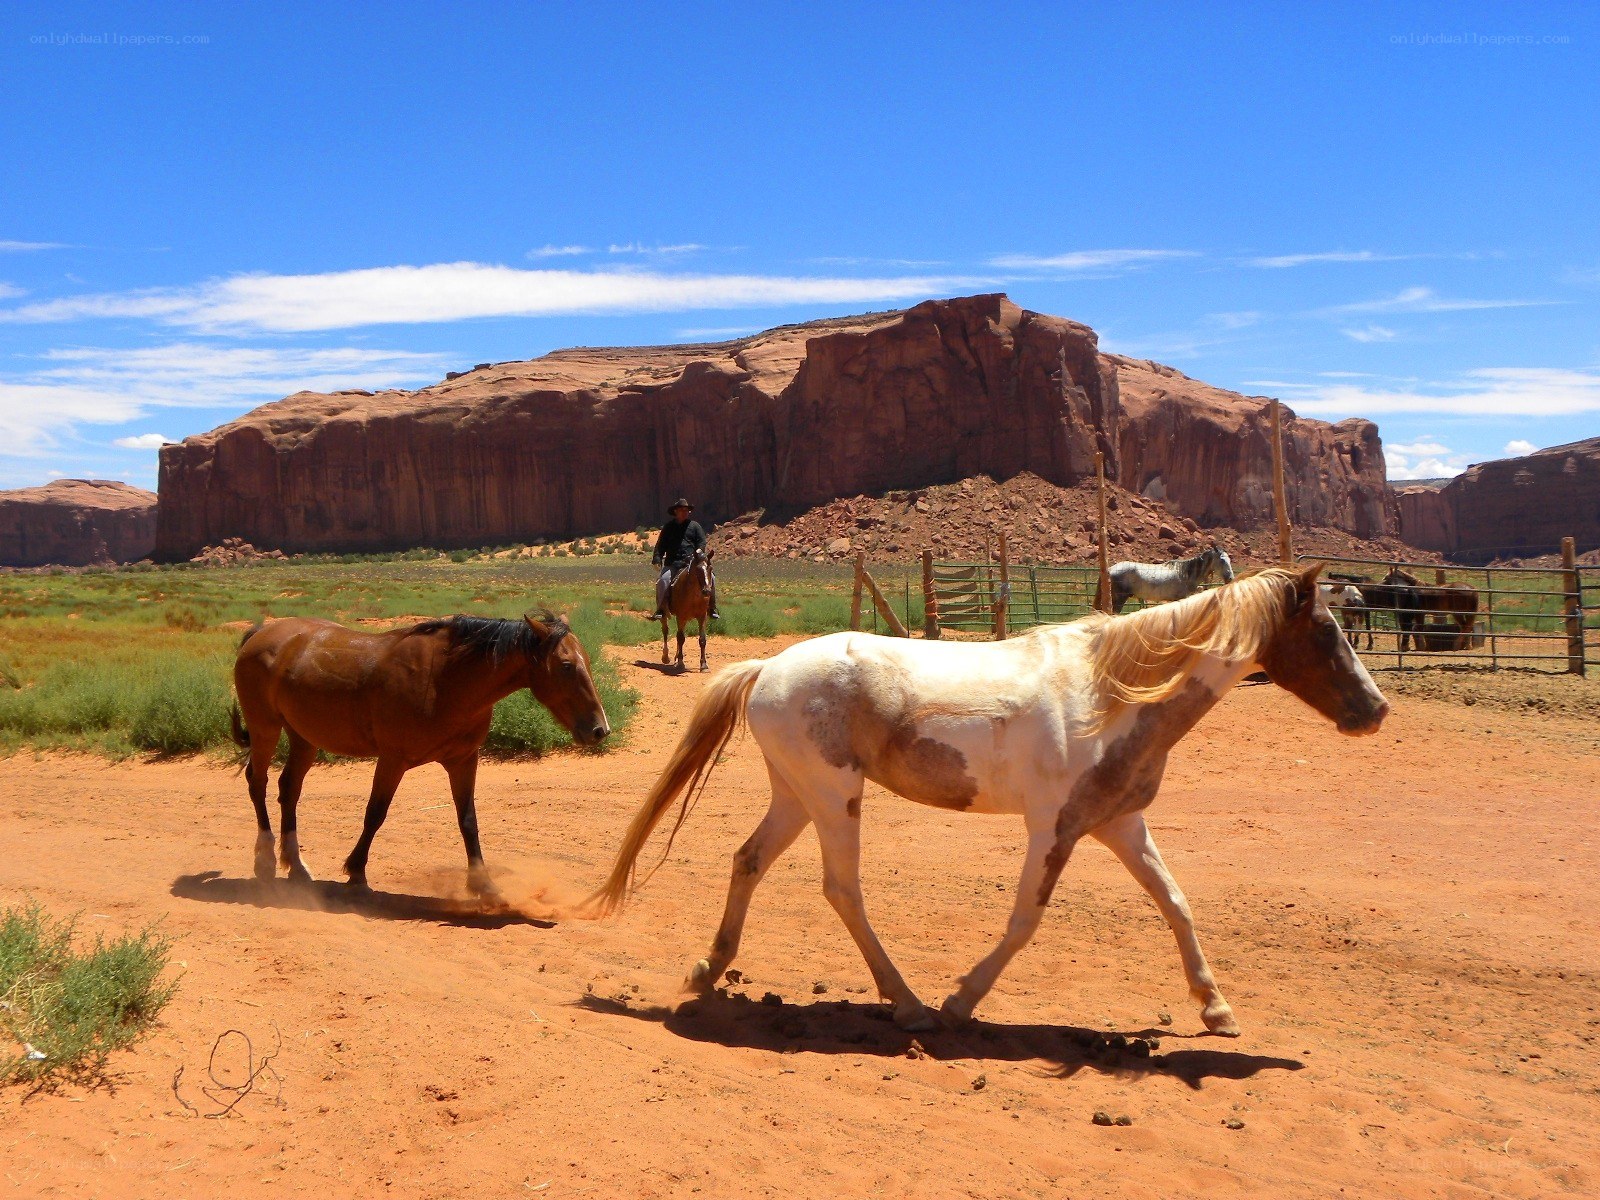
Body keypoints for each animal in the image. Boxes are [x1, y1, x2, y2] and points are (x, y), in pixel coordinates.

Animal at [231, 612, 610, 905]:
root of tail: (260, 633)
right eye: (566, 665)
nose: (599, 729)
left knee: (288, 790)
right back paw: (264, 861)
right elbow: (375, 814)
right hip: (266, 729)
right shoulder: (392, 760)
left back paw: (296, 867)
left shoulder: (463, 760)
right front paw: (356, 873)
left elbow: (468, 821)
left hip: (304, 739)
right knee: (258, 783)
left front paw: (484, 885)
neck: (445, 681)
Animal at [591, 564, 1388, 1036]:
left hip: (796, 795)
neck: (1113, 696)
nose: (1375, 711)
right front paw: (961, 1000)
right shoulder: (1054, 829)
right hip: (832, 796)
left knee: (748, 862)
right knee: (842, 889)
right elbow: (1024, 921)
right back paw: (908, 1003)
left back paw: (709, 968)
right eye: (1326, 630)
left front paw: (1217, 1007)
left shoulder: (1121, 823)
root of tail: (766, 667)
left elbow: (1176, 903)